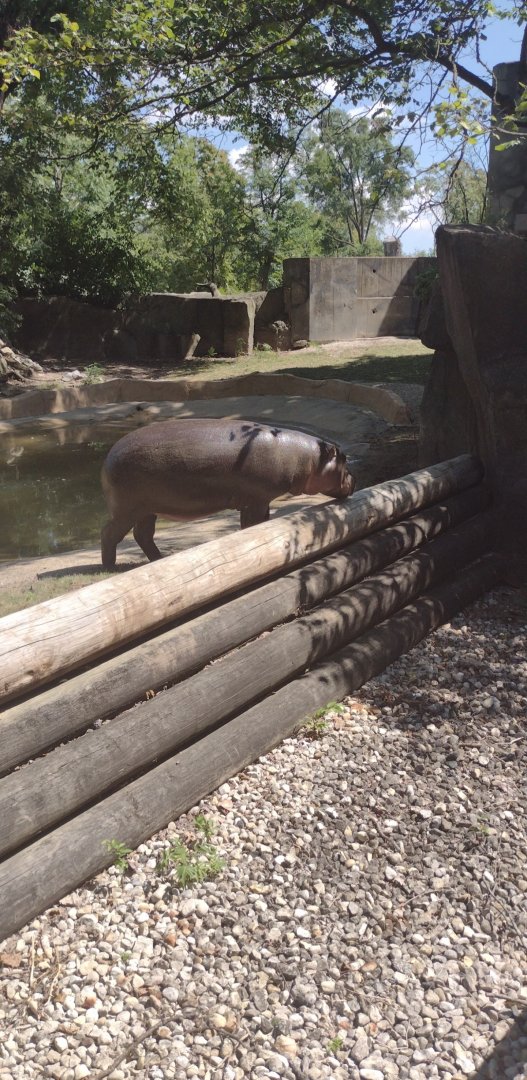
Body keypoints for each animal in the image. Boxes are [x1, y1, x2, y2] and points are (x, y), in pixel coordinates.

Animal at [100, 418, 355, 568]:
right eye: (344, 458)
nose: (354, 480)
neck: (308, 459)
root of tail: (109, 456)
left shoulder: (258, 500)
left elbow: (260, 522)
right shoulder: (256, 500)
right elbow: (253, 524)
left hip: (147, 509)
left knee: (143, 535)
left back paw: (159, 559)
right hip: (127, 508)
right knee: (110, 533)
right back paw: (110, 566)